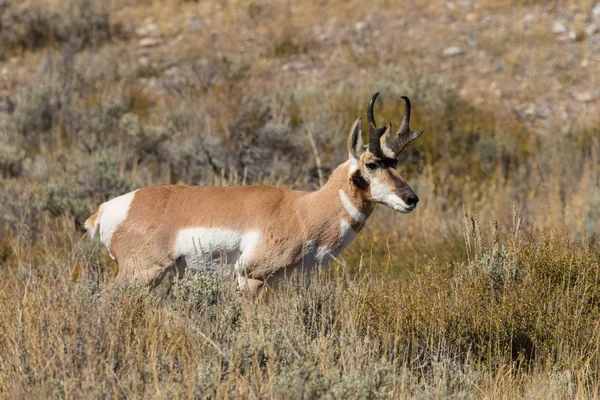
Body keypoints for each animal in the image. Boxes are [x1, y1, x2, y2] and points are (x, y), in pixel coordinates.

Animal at [84, 93, 424, 294]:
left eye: (396, 162)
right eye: (371, 163)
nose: (412, 199)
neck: (302, 210)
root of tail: (109, 208)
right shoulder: (251, 278)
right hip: (141, 273)